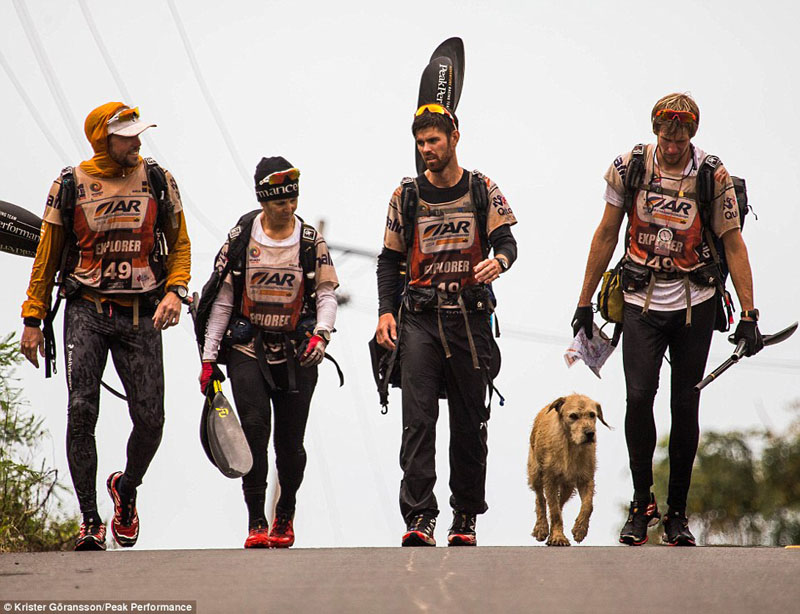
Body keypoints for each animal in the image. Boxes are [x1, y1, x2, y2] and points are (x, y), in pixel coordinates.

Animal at [528, 394, 608, 548]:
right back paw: (541, 528)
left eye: (592, 414)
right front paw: (558, 537)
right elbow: (554, 510)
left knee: (559, 502)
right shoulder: (550, 479)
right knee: (540, 499)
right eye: (573, 416)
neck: (571, 446)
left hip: (568, 486)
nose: (590, 433)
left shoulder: (586, 478)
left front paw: (580, 530)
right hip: (536, 473)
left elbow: (588, 505)